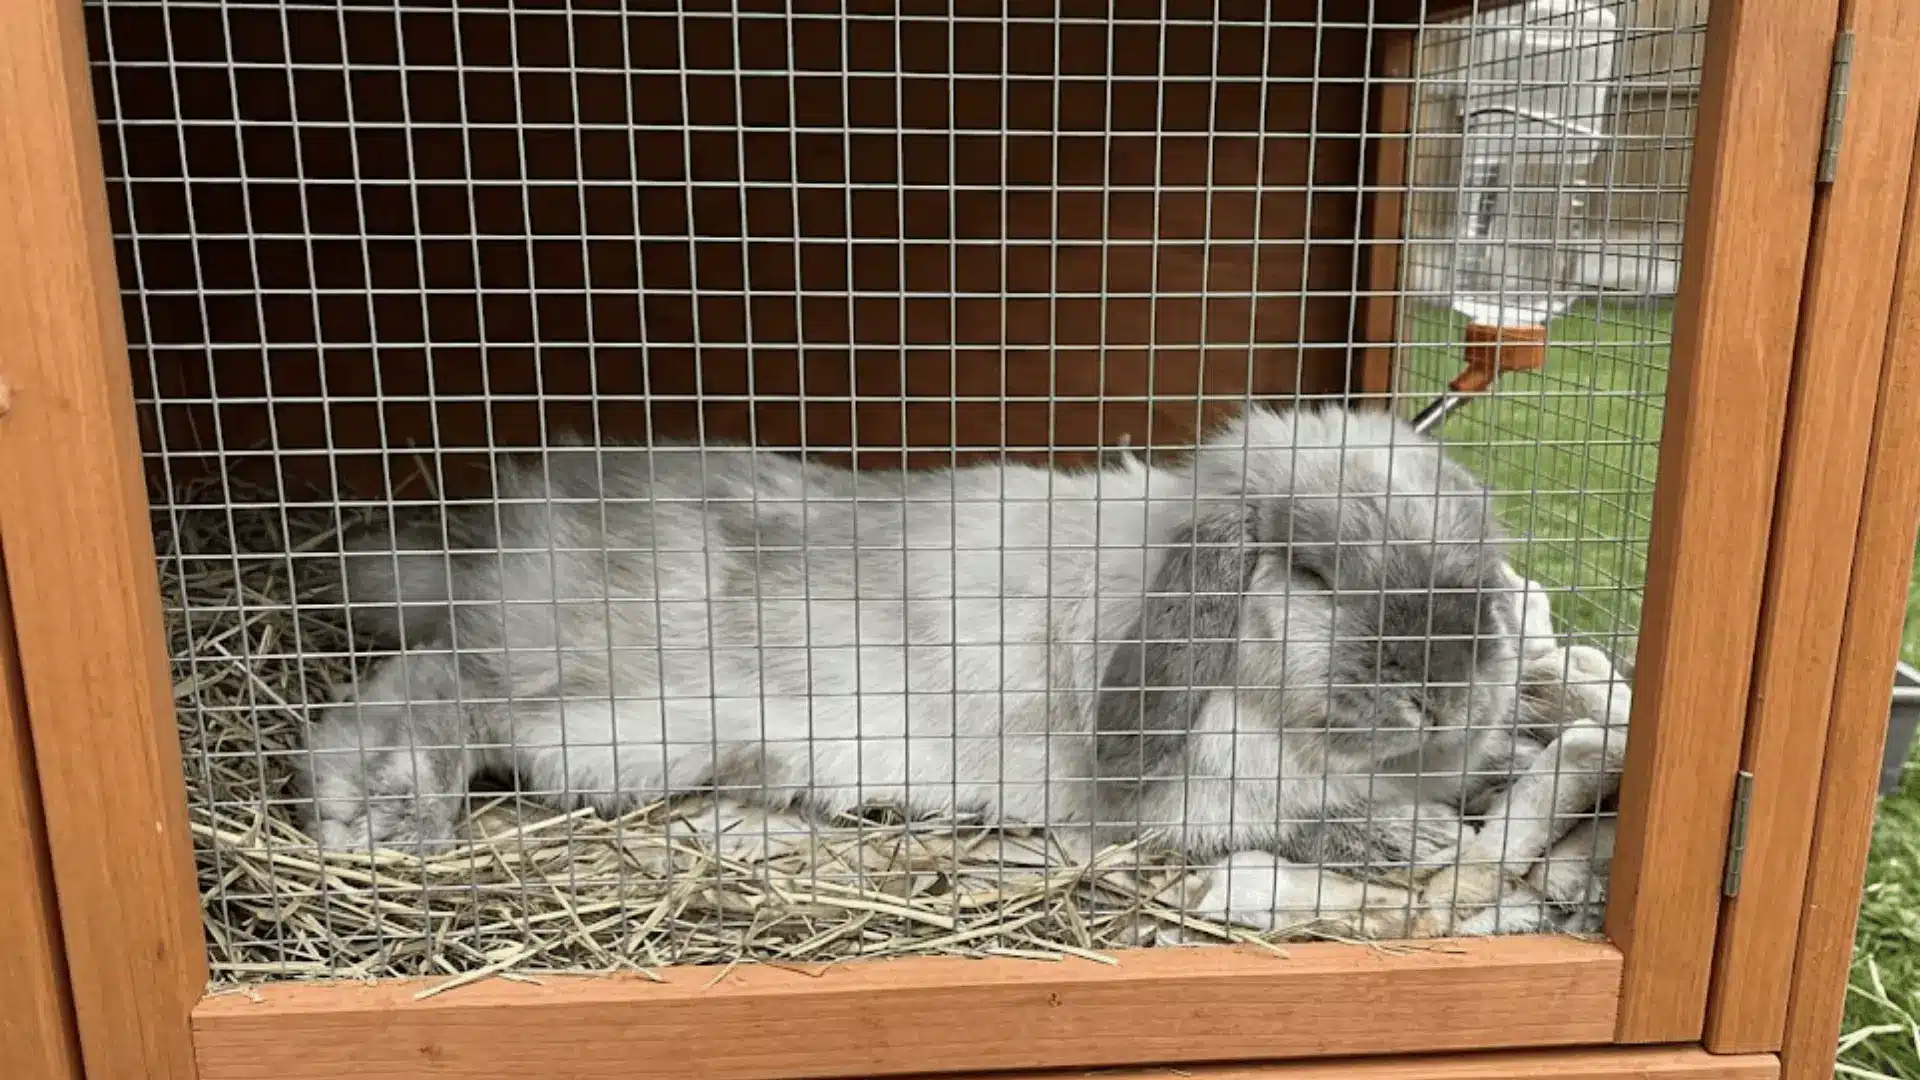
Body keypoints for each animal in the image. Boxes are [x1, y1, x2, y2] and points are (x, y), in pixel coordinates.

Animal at [299, 405, 1559, 938]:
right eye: (1307, 570)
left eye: (1481, 573)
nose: (1446, 688)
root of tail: (502, 545)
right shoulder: (1186, 805)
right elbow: (1297, 823)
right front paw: (1414, 835)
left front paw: (1503, 766)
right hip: (593, 712)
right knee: (427, 687)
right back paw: (380, 806)